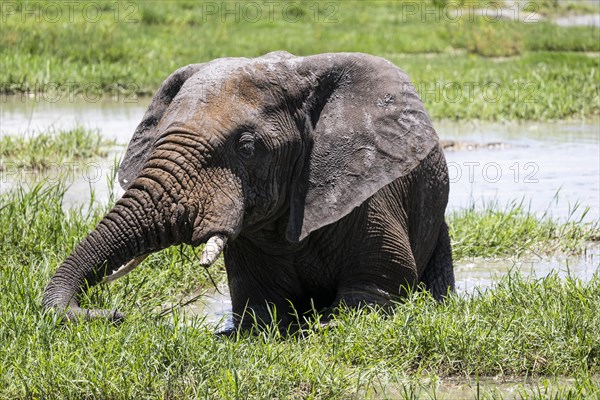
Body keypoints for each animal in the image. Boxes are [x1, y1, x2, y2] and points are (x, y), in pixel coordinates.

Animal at [43, 50, 454, 332]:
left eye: (247, 147)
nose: (116, 314)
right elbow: (261, 309)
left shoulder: (369, 194)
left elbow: (378, 283)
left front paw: (329, 322)